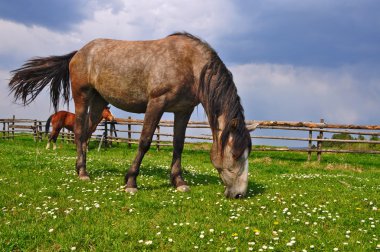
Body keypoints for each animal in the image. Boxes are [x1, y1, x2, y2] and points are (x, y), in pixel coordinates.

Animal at [8, 32, 252, 199]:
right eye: (236, 154)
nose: (239, 194)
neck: (189, 63)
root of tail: (78, 53)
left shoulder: (183, 110)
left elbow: (178, 145)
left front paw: (178, 181)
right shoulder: (156, 104)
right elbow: (144, 142)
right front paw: (131, 182)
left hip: (98, 102)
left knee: (85, 134)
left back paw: (81, 168)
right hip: (82, 97)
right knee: (78, 132)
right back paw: (83, 173)